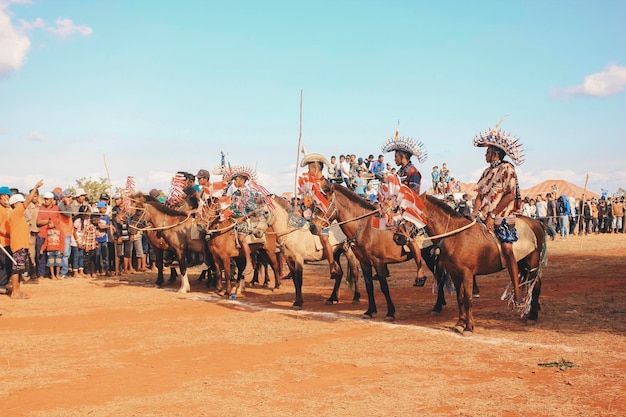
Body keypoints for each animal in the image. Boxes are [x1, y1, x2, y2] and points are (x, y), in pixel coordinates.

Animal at [414, 194, 544, 334]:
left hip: (532, 264)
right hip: (521, 263)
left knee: (536, 286)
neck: (455, 235)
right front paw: (460, 323)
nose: (403, 237)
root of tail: (537, 223)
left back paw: (532, 316)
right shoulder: (454, 273)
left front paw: (469, 327)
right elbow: (460, 298)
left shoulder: (467, 273)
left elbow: (468, 299)